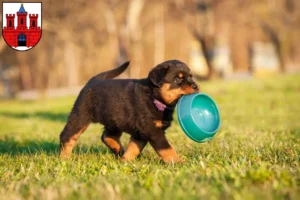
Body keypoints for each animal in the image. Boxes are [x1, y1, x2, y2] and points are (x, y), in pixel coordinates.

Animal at [59, 59, 199, 162]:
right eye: (177, 79)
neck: (153, 96)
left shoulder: (140, 132)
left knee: (107, 136)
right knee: (68, 136)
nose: (195, 86)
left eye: (191, 77)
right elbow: (166, 148)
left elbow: (133, 148)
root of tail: (92, 81)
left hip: (114, 120)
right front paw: (178, 162)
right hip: (81, 115)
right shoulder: (152, 130)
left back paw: (119, 151)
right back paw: (64, 158)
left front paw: (126, 161)